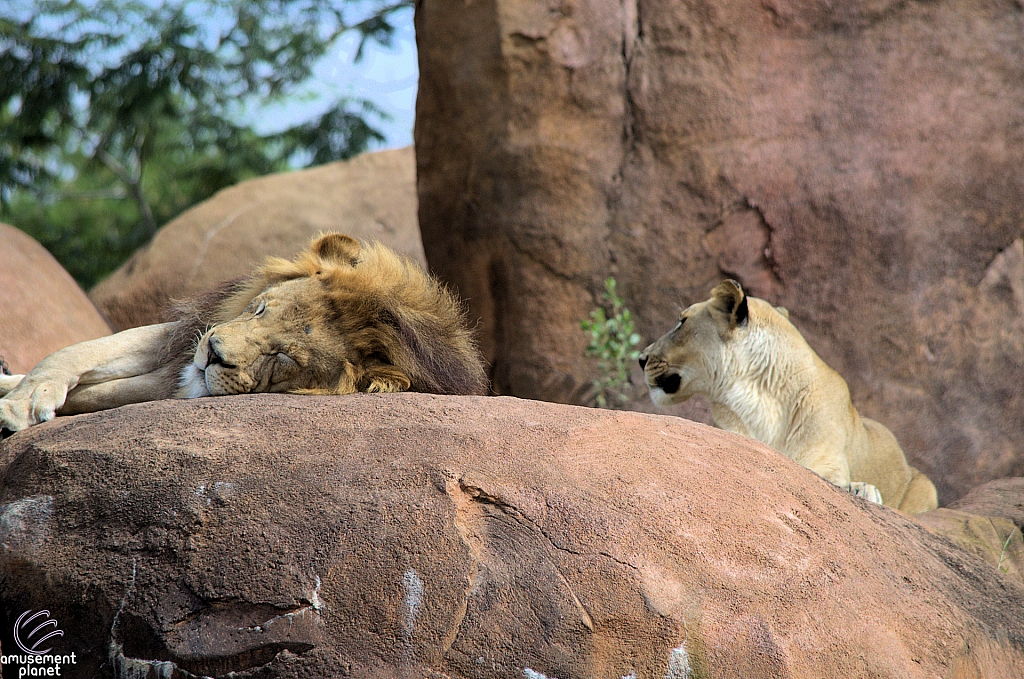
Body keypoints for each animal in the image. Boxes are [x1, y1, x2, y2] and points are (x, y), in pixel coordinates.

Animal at [0, 231, 487, 432]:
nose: (213, 353)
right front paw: (25, 399)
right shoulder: (184, 338)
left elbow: (95, 393)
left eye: (281, 357)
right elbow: (73, 354)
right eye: (260, 309)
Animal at [638, 278, 937, 512]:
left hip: (926, 487)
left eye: (681, 322)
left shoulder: (828, 461)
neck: (759, 397)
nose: (641, 359)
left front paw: (862, 489)